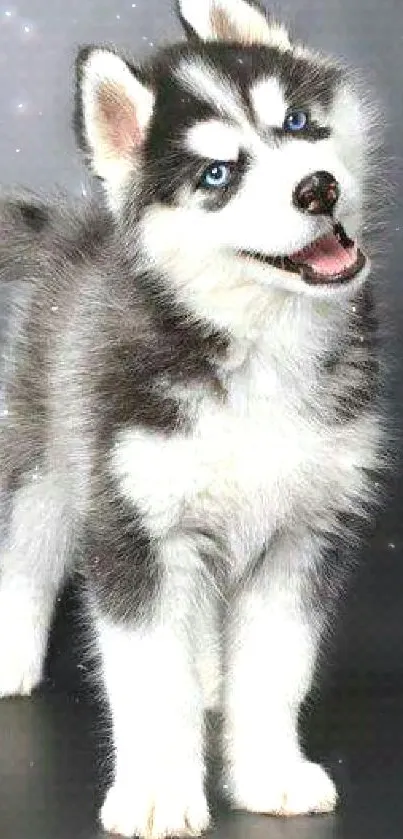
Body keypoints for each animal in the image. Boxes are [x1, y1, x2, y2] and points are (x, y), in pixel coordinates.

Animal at [0, 0, 386, 836]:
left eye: (296, 121)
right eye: (216, 174)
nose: (316, 188)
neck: (259, 345)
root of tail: (76, 230)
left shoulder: (303, 533)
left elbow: (274, 669)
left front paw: (267, 770)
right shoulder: (135, 528)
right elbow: (150, 676)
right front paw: (156, 788)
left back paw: (210, 674)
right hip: (52, 460)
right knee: (26, 551)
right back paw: (10, 654)